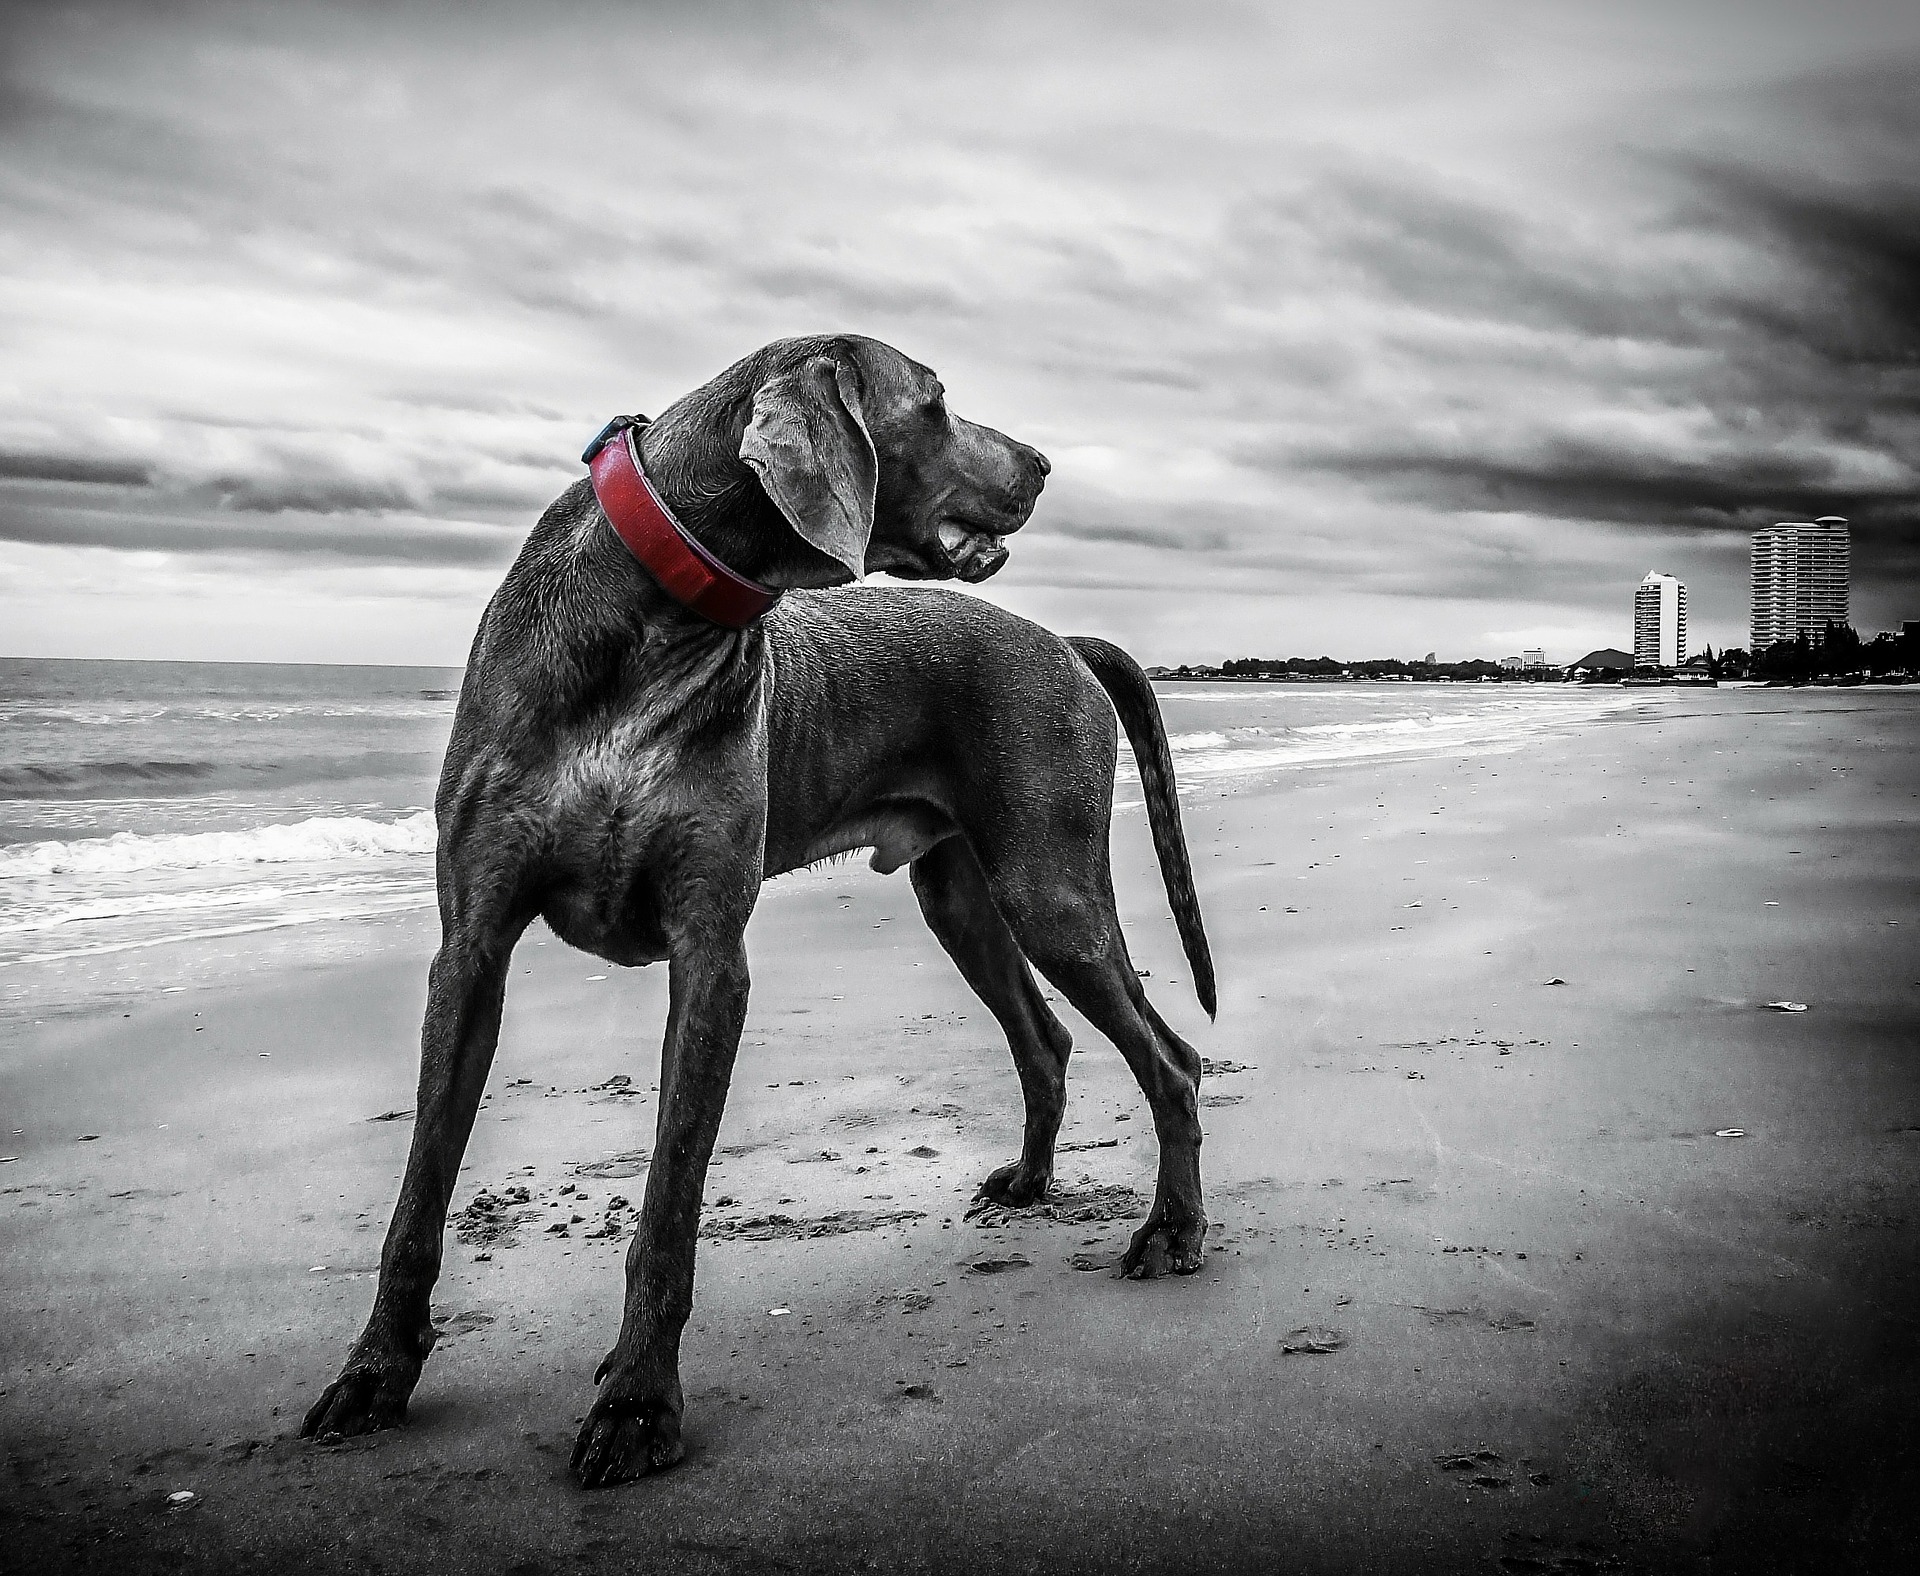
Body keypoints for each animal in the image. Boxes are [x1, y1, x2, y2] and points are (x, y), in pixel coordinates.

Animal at [299, 335, 1213, 1489]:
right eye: (936, 401)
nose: (1045, 463)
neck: (658, 620)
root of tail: (1062, 640)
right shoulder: (472, 947)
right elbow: (420, 1192)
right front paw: (374, 1372)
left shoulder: (709, 957)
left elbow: (669, 1204)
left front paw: (637, 1405)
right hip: (963, 894)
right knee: (1046, 1038)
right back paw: (1034, 1182)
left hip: (1050, 888)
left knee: (1171, 1058)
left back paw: (1172, 1232)